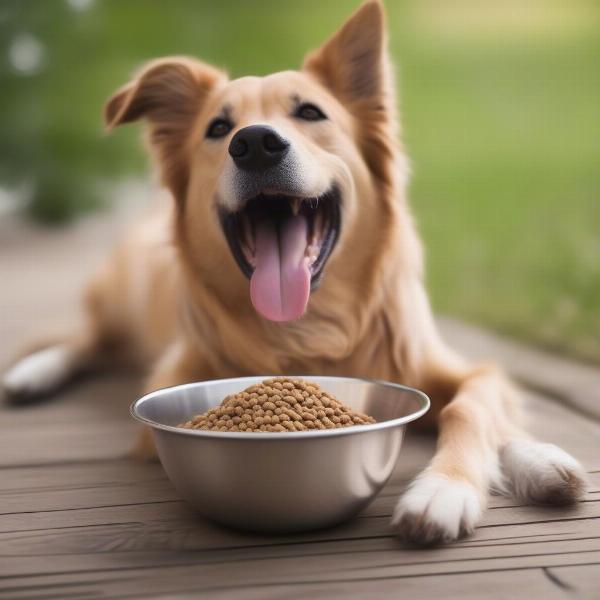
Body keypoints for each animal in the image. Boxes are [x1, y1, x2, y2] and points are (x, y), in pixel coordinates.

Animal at [3, 0, 584, 544]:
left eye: (310, 112)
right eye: (218, 127)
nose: (255, 143)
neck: (312, 330)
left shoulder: (456, 367)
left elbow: (472, 407)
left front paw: (480, 477)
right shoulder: (174, 375)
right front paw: (448, 490)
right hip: (126, 299)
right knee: (89, 336)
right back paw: (32, 374)